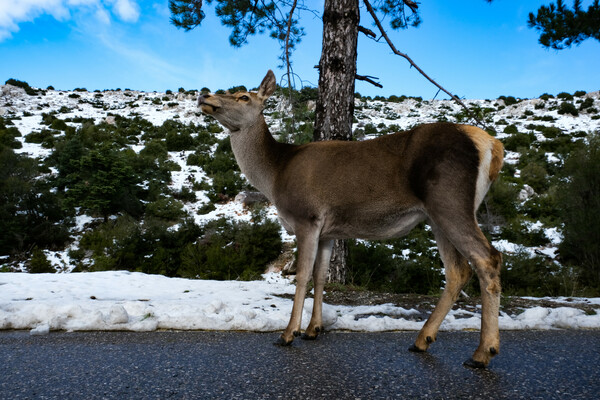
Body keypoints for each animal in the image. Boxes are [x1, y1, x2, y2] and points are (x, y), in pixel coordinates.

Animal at [198, 70, 506, 368]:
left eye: (243, 97)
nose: (204, 94)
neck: (275, 174)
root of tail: (492, 145)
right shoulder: (328, 231)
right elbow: (321, 276)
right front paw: (313, 329)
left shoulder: (306, 217)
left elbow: (302, 276)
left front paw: (288, 333)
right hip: (437, 215)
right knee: (457, 270)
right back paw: (423, 340)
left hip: (449, 201)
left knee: (487, 258)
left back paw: (482, 352)